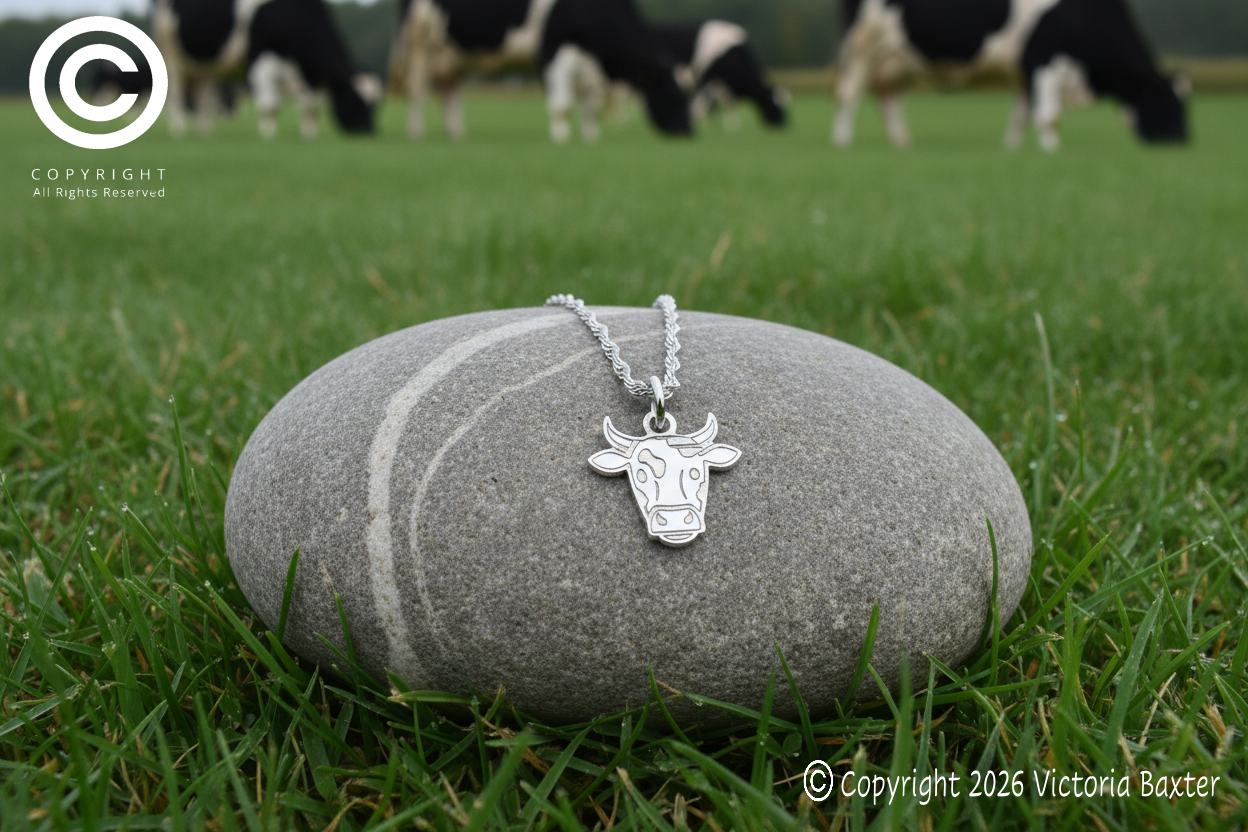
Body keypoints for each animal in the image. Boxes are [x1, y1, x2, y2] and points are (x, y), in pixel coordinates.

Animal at [152, 0, 377, 137]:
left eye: (374, 104)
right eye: (355, 101)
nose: (369, 131)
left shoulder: (306, 74)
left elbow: (310, 105)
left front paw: (309, 133)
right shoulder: (260, 60)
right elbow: (270, 105)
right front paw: (268, 135)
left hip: (205, 67)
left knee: (204, 96)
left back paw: (205, 131)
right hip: (171, 57)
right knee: (176, 94)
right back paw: (179, 130)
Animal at [393, 0, 691, 140]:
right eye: (673, 96)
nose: (690, 132)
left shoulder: (591, 65)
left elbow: (590, 106)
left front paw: (591, 137)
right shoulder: (553, 50)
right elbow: (562, 105)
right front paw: (560, 138)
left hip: (454, 54)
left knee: (449, 93)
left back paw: (456, 135)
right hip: (420, 42)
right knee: (418, 91)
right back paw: (416, 133)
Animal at [834, 0, 1188, 150]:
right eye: (1169, 104)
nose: (1184, 140)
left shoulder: (1024, 71)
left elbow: (1022, 113)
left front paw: (1013, 148)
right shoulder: (1043, 57)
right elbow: (1048, 114)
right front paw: (1052, 148)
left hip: (899, 60)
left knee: (888, 100)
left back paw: (903, 143)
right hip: (864, 45)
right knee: (849, 93)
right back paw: (842, 141)